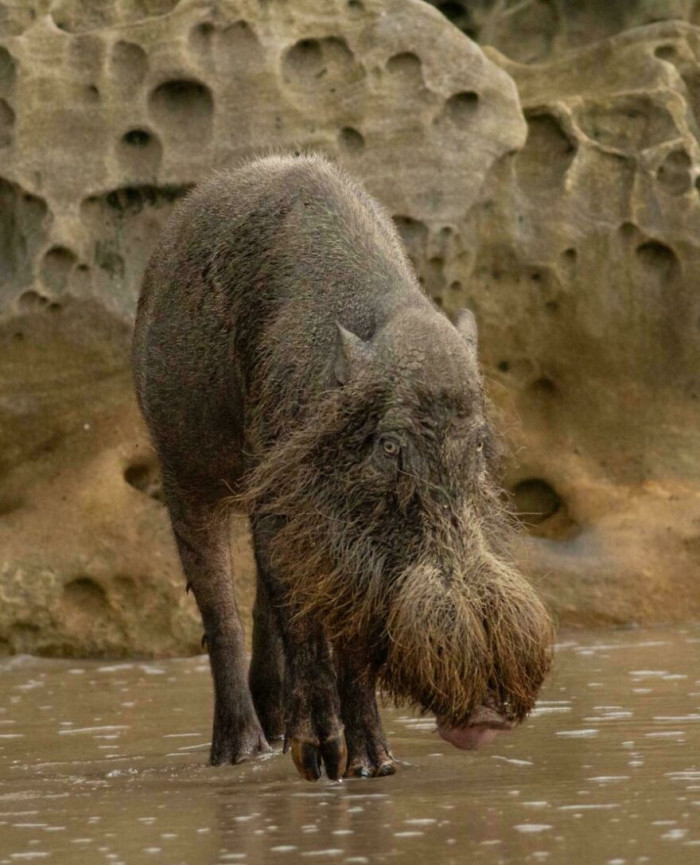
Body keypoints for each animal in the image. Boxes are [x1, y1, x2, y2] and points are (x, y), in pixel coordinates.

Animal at [132, 153, 555, 781]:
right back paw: (243, 753)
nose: (486, 716)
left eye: (479, 445)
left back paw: (279, 738)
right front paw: (319, 760)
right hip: (182, 460)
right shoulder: (282, 500)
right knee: (221, 604)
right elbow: (302, 620)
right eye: (389, 445)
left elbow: (351, 640)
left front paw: (375, 766)